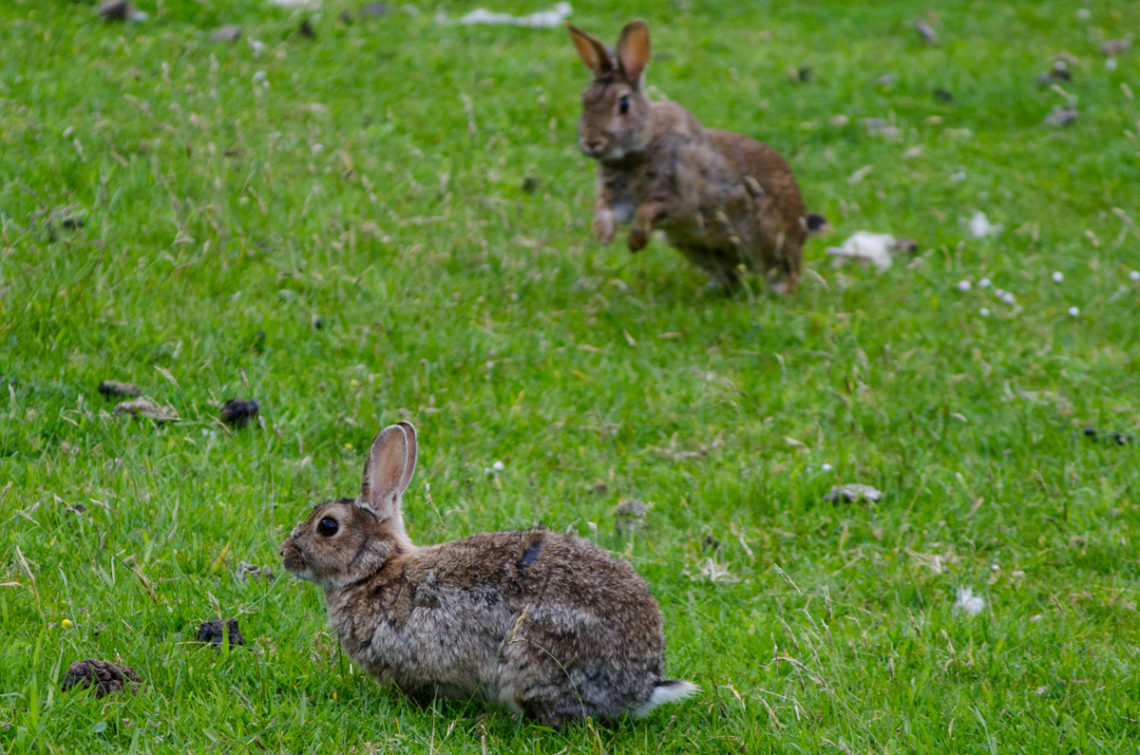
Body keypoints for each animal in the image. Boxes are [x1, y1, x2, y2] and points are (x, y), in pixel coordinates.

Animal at [567, 20, 820, 291]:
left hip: (771, 235)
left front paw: (635, 242)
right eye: (584, 101)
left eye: (623, 105)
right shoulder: (615, 196)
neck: (642, 144)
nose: (591, 143)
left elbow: (648, 210)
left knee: (786, 271)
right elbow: (603, 208)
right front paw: (603, 235)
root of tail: (801, 231)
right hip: (698, 249)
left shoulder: (677, 198)